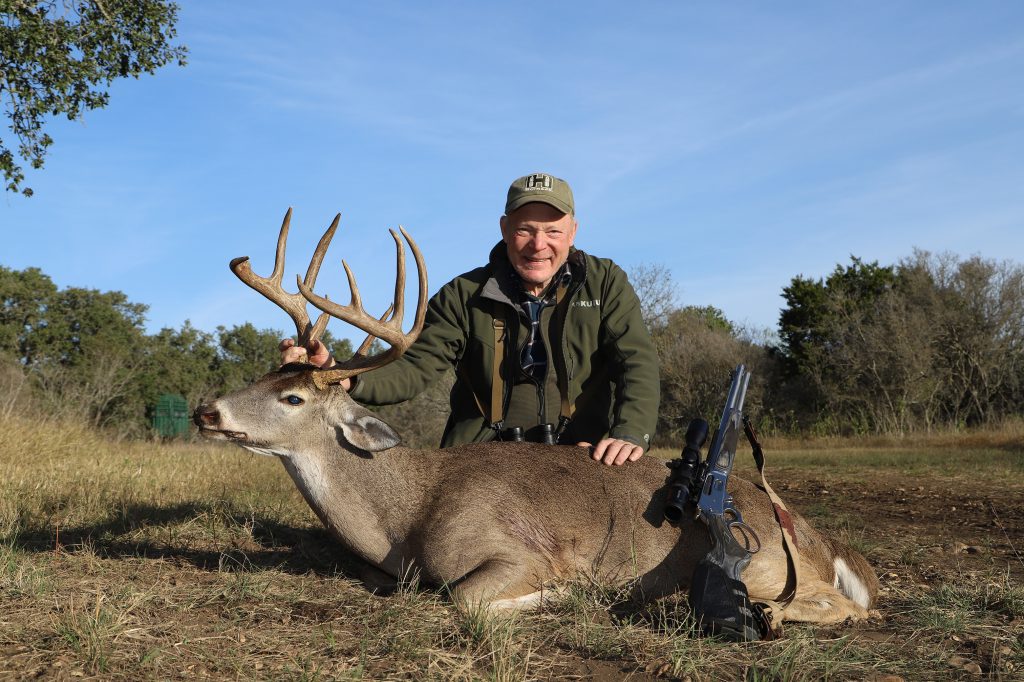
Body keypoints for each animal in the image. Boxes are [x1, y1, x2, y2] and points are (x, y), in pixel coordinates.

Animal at [193, 209, 878, 626]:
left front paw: (565, 592)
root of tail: (815, 537)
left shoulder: (510, 550)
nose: (206, 409)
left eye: (294, 399)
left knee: (847, 606)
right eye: (266, 377)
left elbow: (463, 597)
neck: (405, 518)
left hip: (763, 562)